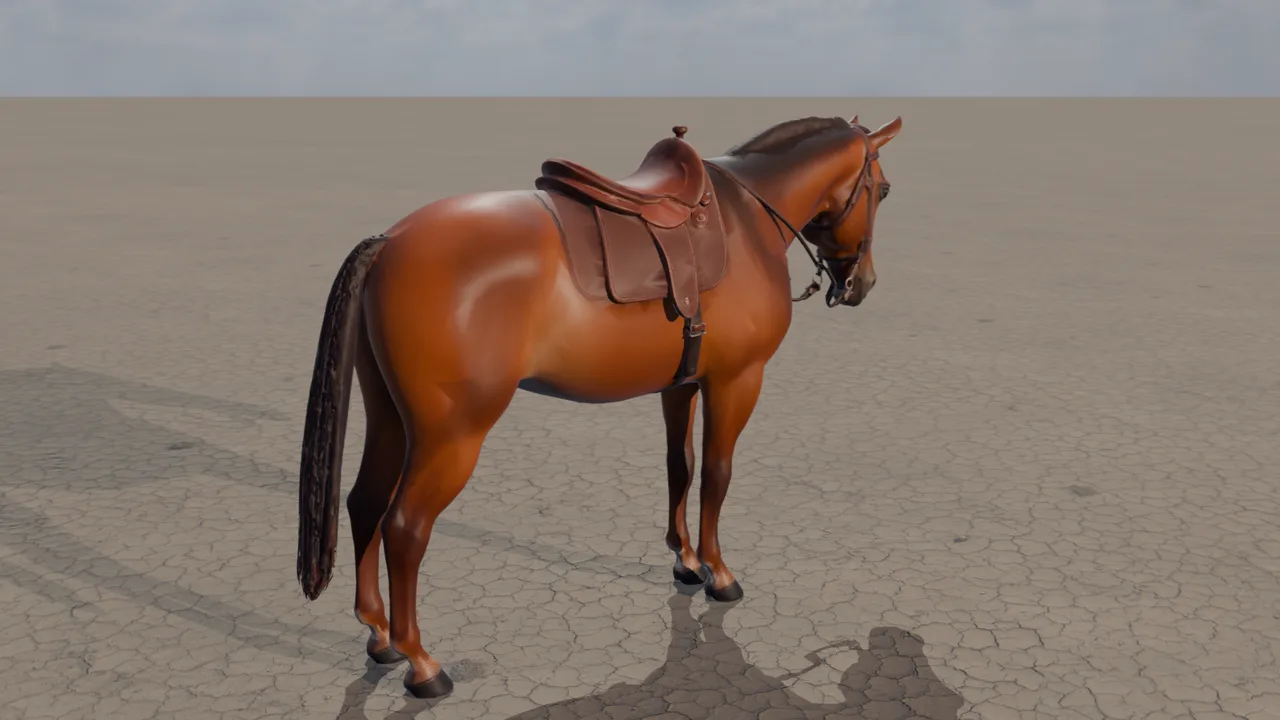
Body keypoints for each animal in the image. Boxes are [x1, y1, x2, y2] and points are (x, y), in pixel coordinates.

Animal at [296, 113, 902, 698]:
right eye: (884, 189)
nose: (862, 283)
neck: (745, 218)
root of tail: (389, 242)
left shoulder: (682, 384)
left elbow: (680, 467)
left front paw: (685, 562)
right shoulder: (737, 381)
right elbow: (717, 473)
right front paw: (719, 574)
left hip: (391, 419)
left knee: (364, 503)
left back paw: (379, 636)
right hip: (450, 437)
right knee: (404, 528)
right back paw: (421, 663)